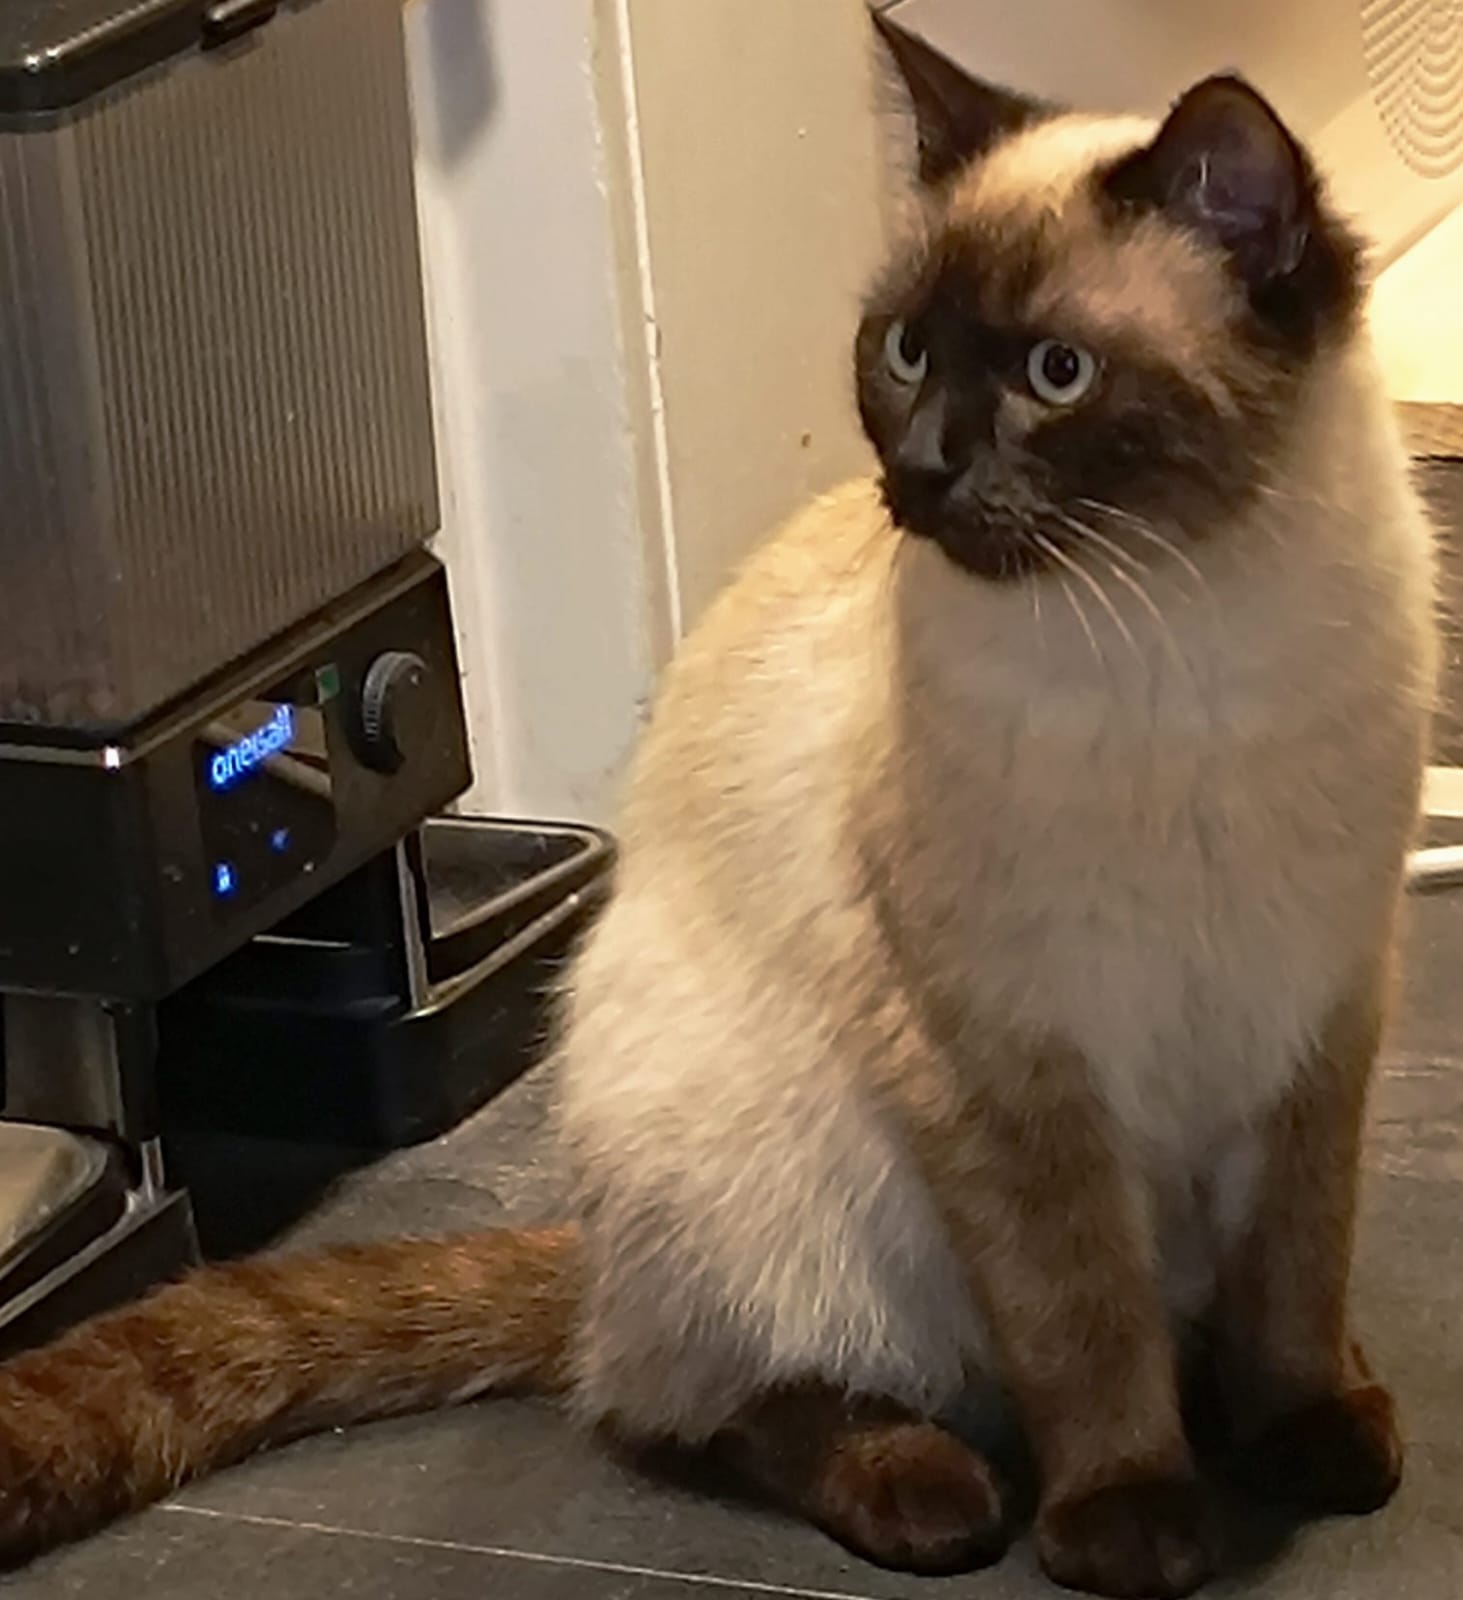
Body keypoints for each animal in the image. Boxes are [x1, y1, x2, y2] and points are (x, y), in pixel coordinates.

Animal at [0, 17, 1438, 1599]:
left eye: (1057, 374)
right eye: (905, 350)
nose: (921, 469)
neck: (1181, 623)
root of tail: (594, 1258)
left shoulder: (1314, 1007)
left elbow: (1292, 1272)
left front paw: (1310, 1439)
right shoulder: (1007, 1057)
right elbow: (1079, 1317)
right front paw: (1127, 1519)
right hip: (752, 1180)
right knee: (682, 1405)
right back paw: (926, 1491)